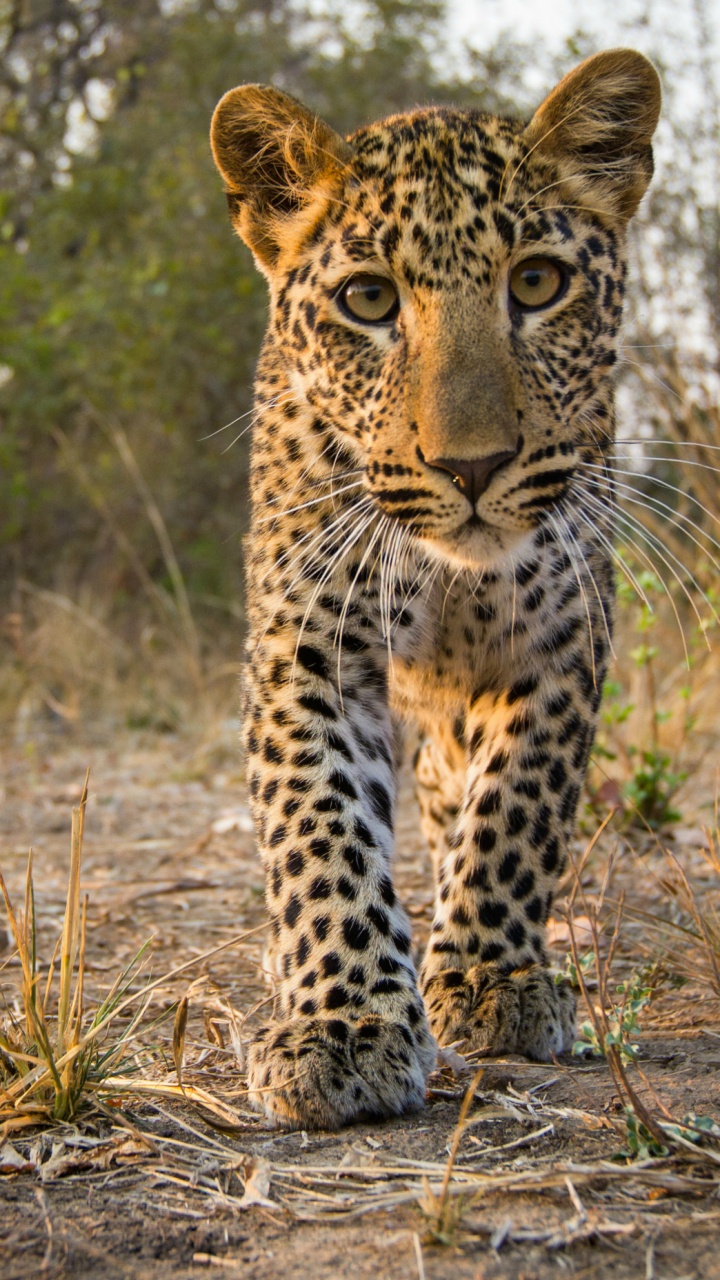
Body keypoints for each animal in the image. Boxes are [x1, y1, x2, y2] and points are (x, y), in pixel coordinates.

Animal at [210, 49, 661, 1129]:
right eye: (370, 301)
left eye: (536, 282)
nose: (473, 465)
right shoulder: (308, 644)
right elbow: (322, 829)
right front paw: (343, 1024)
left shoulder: (563, 637)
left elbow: (518, 809)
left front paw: (489, 974)